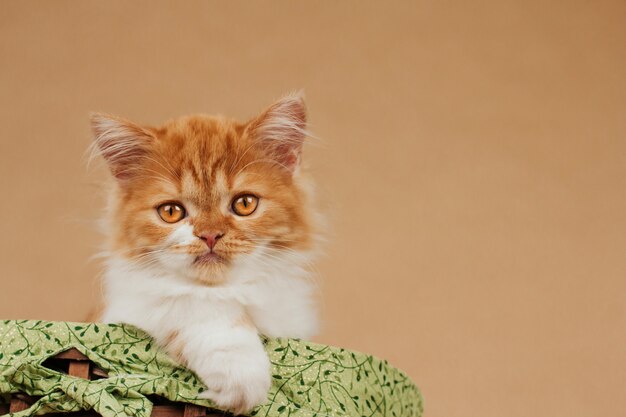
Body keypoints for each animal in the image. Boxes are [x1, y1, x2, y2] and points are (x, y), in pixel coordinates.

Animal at [90, 92, 320, 414]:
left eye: (245, 204)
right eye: (171, 211)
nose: (210, 235)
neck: (226, 288)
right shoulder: (128, 306)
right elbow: (195, 305)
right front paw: (241, 377)